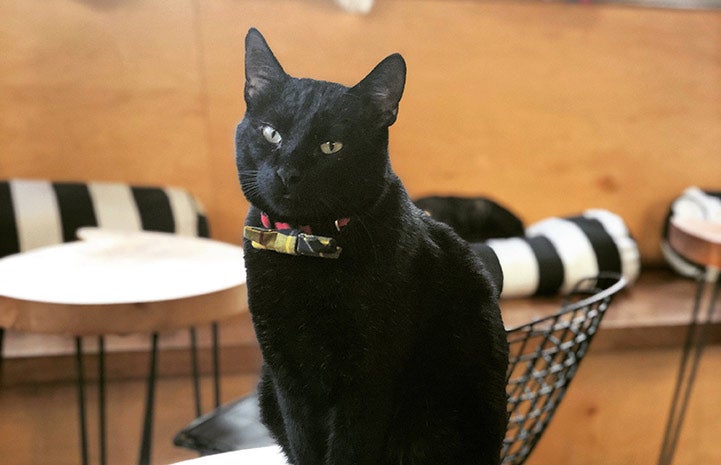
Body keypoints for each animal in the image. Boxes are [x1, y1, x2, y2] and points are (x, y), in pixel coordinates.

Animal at [235, 29, 506, 464]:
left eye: (332, 146)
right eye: (271, 133)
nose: (288, 173)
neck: (308, 249)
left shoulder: (368, 380)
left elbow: (348, 450)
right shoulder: (287, 377)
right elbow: (304, 444)